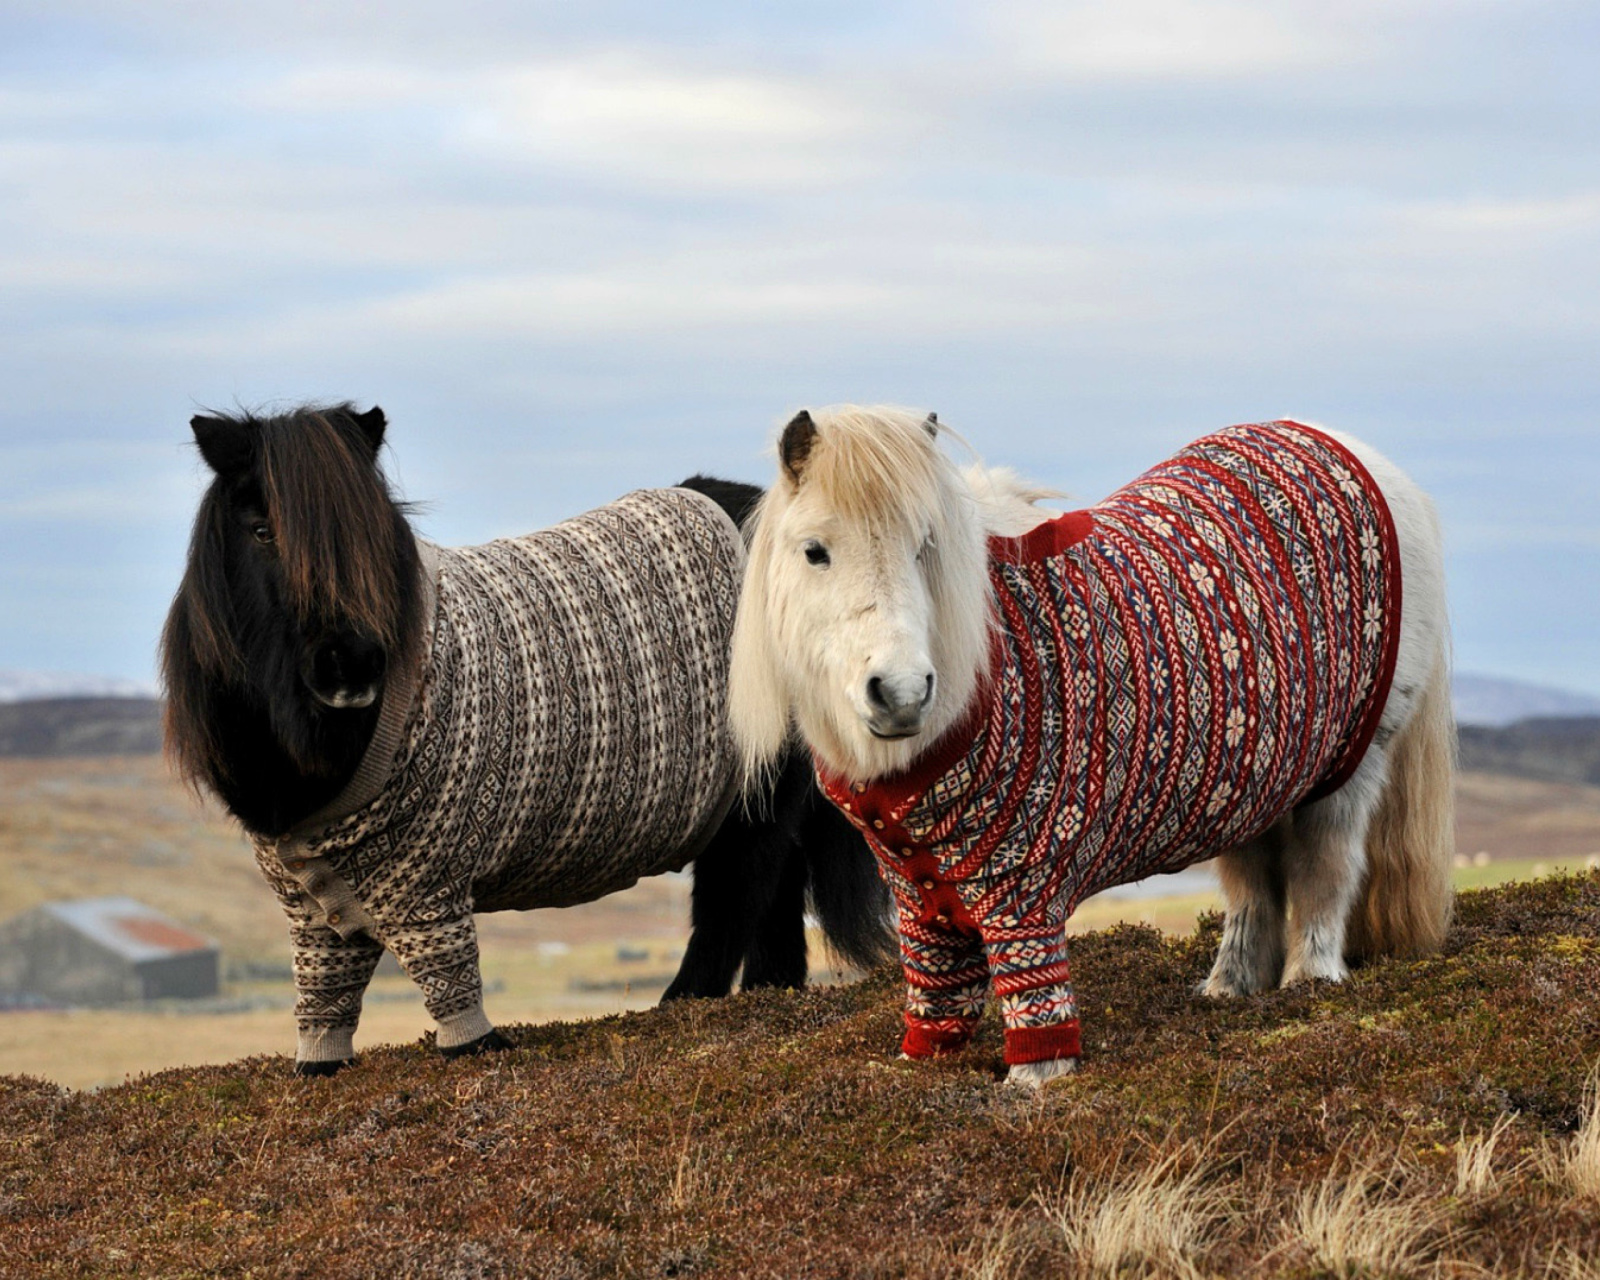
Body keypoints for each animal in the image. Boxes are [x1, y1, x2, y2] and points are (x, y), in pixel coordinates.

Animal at [167, 404, 896, 1075]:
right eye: (261, 530)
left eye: (374, 534)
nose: (351, 665)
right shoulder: (313, 911)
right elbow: (324, 994)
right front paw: (320, 1063)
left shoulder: (430, 886)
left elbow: (451, 983)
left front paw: (474, 1047)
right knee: (773, 899)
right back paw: (768, 995)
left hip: (754, 796)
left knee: (735, 899)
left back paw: (683, 1004)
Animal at [732, 404, 1459, 1088]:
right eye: (815, 550)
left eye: (924, 546)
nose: (902, 693)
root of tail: (1353, 452)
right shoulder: (919, 897)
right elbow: (939, 997)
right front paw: (921, 1068)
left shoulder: (1022, 889)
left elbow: (1033, 999)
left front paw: (1033, 1084)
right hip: (1252, 781)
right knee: (1253, 885)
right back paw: (1229, 989)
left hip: (1349, 769)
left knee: (1324, 870)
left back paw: (1310, 985)